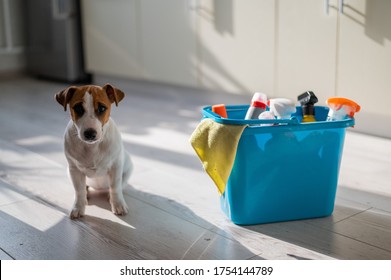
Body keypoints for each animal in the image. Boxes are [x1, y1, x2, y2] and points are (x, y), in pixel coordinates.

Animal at [55, 84, 132, 220]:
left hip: (128, 168)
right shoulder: (74, 170)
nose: (90, 133)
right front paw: (78, 207)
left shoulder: (116, 167)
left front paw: (118, 204)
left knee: (119, 185)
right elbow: (79, 191)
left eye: (102, 108)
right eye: (78, 108)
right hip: (69, 171)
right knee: (84, 188)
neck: (92, 147)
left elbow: (115, 187)